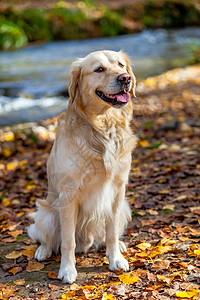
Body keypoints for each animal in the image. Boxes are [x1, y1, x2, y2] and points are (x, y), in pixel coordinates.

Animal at [28, 49, 138, 284]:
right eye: (99, 69)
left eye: (121, 65)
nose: (125, 79)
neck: (102, 125)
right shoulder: (69, 194)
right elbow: (67, 240)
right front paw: (67, 270)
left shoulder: (118, 189)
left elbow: (111, 232)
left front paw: (116, 259)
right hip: (46, 214)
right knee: (47, 238)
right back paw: (43, 251)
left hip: (125, 207)